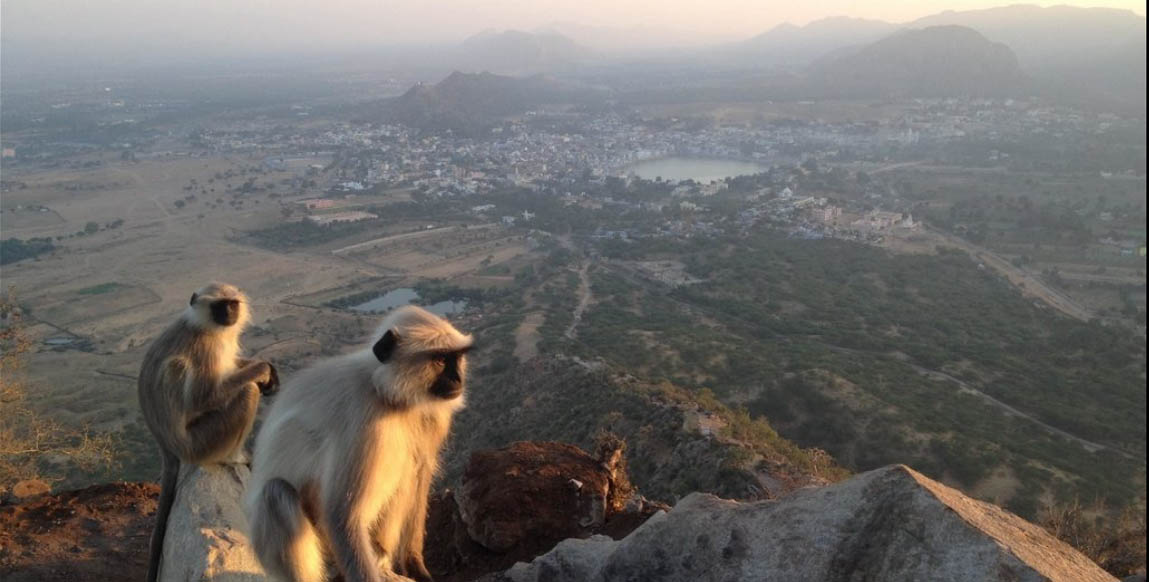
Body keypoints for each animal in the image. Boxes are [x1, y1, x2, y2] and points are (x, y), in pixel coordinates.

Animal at [137, 282, 280, 582]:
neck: (204, 325)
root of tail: (166, 446)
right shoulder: (206, 347)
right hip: (202, 442)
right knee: (246, 392)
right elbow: (206, 398)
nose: (229, 314)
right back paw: (233, 456)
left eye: (232, 304)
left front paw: (268, 371)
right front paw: (262, 370)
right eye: (219, 306)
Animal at [244, 305, 473, 582]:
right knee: (275, 492)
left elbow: (420, 475)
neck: (387, 394)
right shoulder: (363, 418)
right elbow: (342, 514)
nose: (458, 379)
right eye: (439, 360)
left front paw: (415, 565)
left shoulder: (433, 416)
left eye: (456, 357)